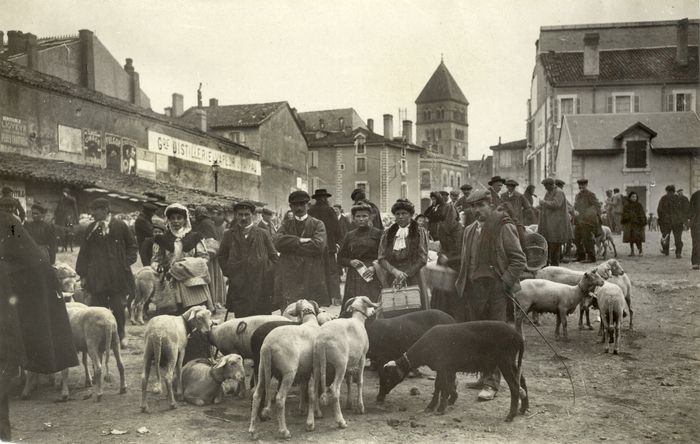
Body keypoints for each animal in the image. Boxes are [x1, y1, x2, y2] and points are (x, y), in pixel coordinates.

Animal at [247, 298, 322, 440]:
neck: (310, 322)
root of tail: (268, 345)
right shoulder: (314, 368)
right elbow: (312, 392)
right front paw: (310, 423)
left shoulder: (304, 370)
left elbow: (304, 388)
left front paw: (304, 410)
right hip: (289, 372)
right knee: (280, 399)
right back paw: (284, 431)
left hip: (262, 369)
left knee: (257, 395)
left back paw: (253, 431)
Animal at [312, 294, 378, 430]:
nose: (374, 310)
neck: (358, 320)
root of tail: (322, 341)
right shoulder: (362, 357)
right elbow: (360, 381)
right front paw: (360, 407)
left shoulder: (349, 364)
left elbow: (349, 381)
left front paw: (349, 404)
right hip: (340, 364)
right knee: (334, 389)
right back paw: (340, 421)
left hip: (317, 364)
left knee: (314, 388)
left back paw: (317, 414)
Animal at [380, 320, 528, 422]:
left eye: (388, 378)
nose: (379, 398)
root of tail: (518, 337)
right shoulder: (442, 368)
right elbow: (439, 386)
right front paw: (436, 405)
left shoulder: (444, 366)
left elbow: (443, 386)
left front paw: (440, 408)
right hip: (512, 362)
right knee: (522, 381)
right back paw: (523, 408)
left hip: (505, 361)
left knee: (515, 387)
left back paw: (510, 416)